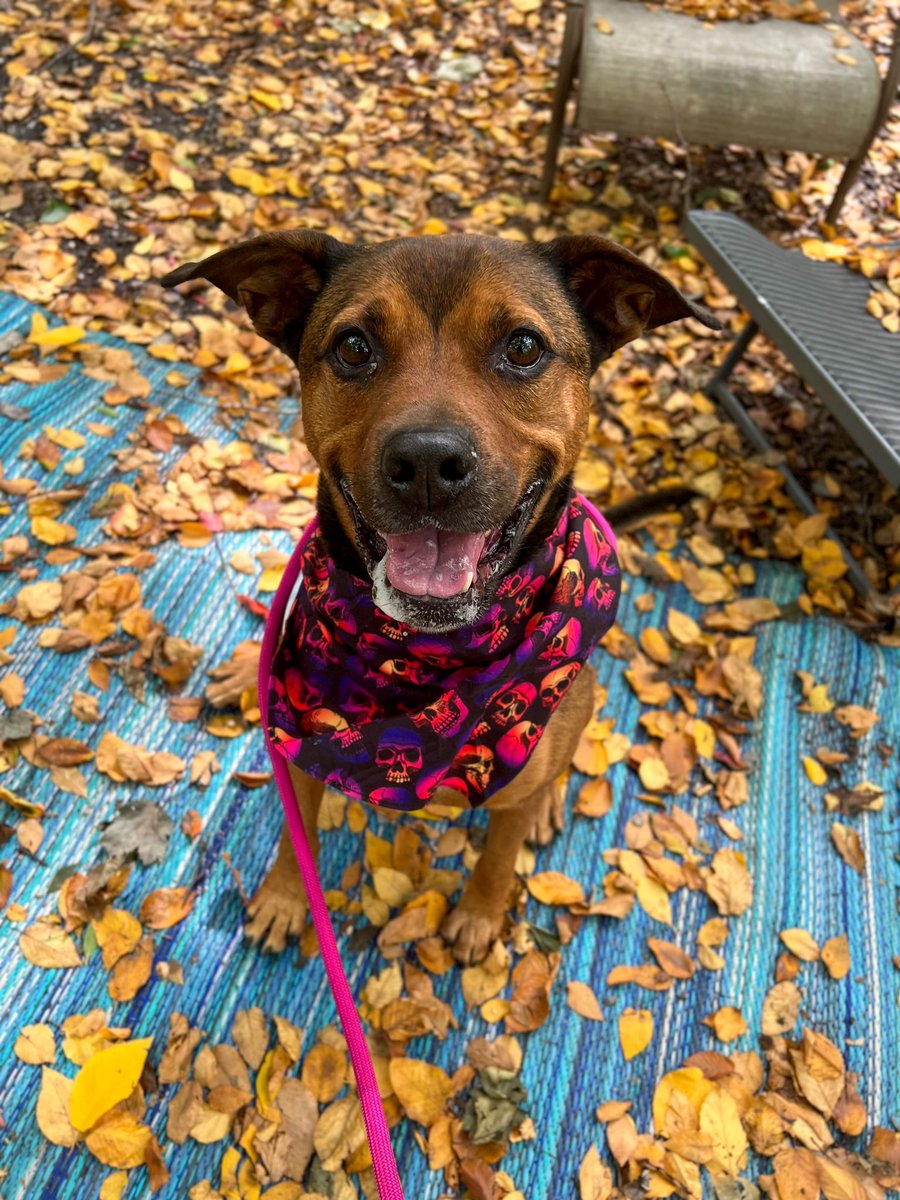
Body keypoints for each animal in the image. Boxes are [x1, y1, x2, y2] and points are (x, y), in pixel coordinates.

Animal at [164, 231, 720, 964]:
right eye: (353, 346)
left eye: (523, 346)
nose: (428, 462)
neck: (423, 656)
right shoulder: (301, 742)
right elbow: (296, 832)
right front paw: (287, 897)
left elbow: (500, 852)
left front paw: (480, 915)